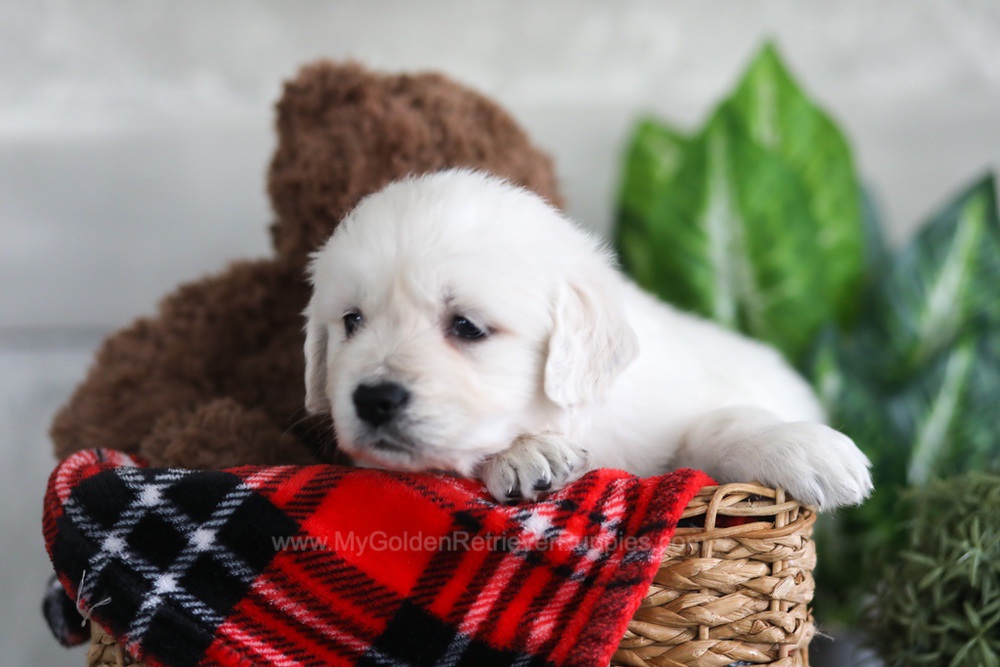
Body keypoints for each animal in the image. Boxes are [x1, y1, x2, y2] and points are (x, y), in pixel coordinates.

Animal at [304, 169, 872, 510]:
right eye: (352, 321)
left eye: (466, 326)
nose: (373, 399)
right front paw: (527, 453)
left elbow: (715, 426)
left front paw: (803, 448)